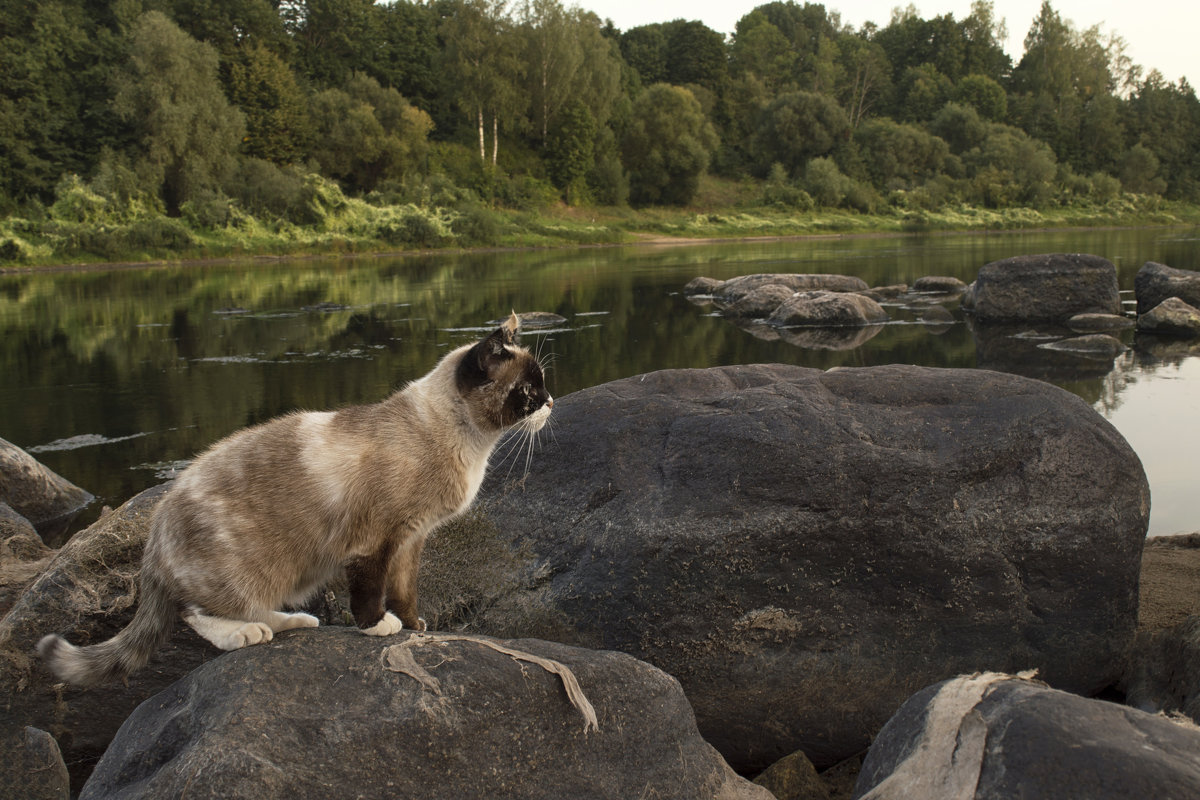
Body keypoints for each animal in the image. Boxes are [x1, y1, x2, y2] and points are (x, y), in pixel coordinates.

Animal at [37, 311, 552, 690]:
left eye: (543, 383)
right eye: (529, 390)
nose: (550, 403)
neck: (467, 444)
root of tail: (157, 524)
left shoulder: (411, 539)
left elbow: (405, 591)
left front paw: (414, 625)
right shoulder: (374, 542)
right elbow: (370, 593)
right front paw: (379, 626)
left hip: (288, 574)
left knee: (244, 607)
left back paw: (294, 622)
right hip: (250, 570)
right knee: (195, 613)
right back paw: (248, 633)